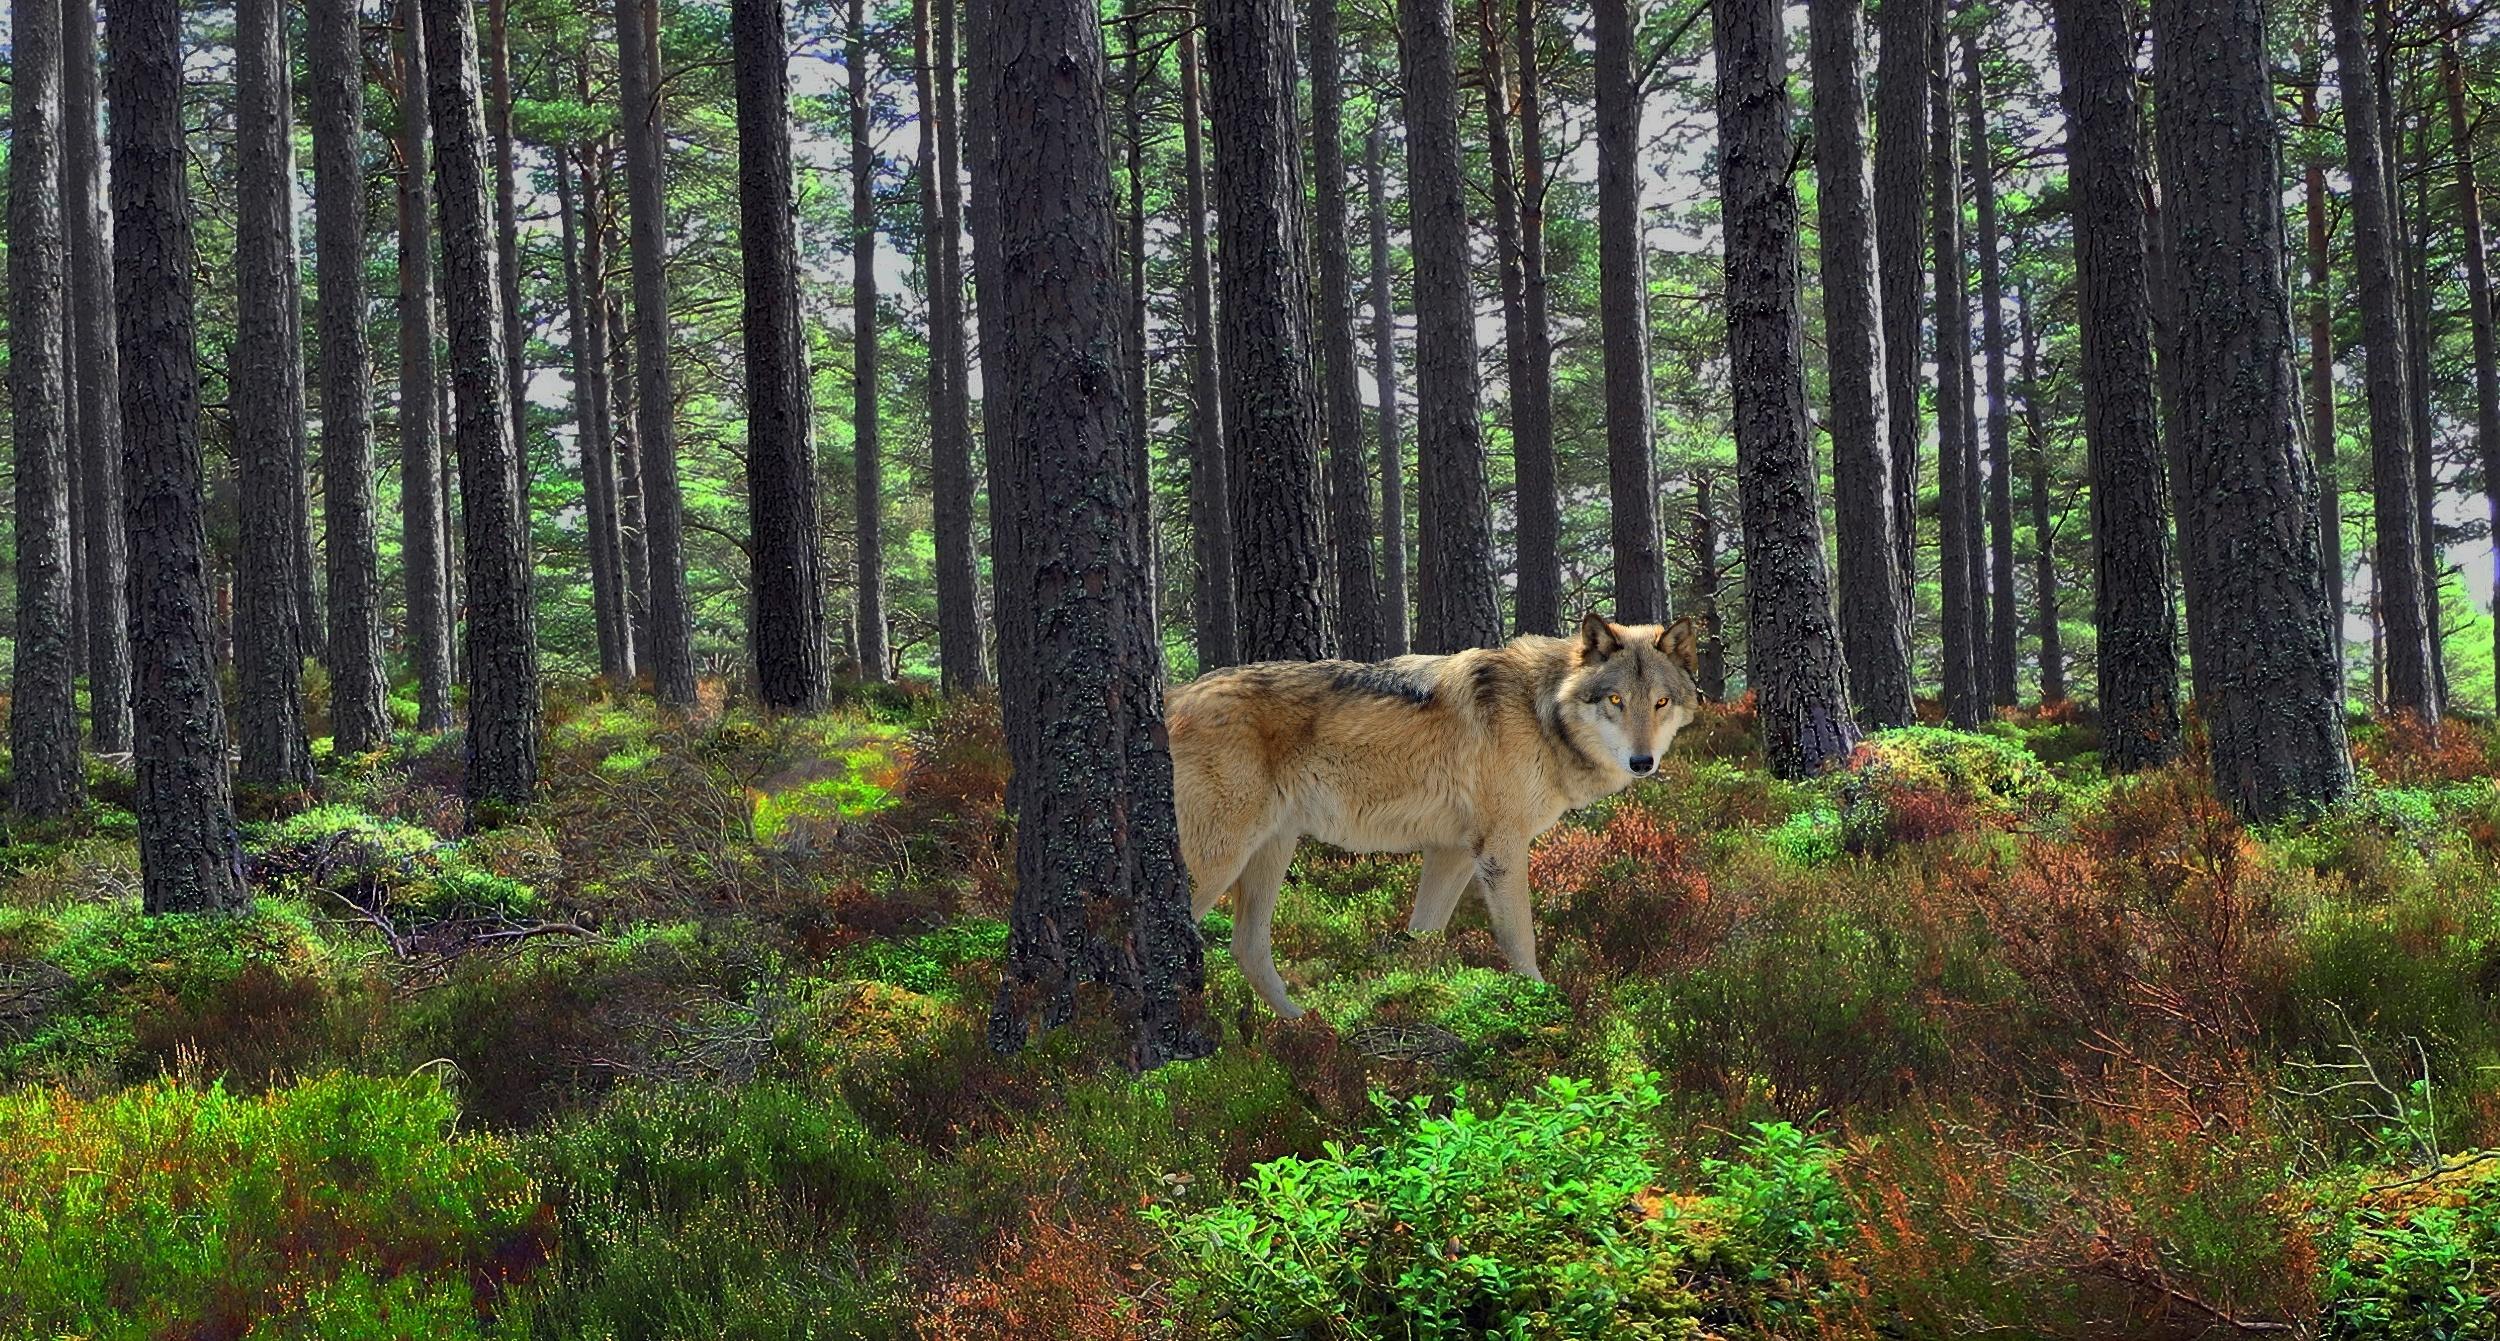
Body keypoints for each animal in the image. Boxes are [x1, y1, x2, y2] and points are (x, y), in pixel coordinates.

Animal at [1165, 615, 1710, 1015]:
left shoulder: (1452, 854)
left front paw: (1413, 997)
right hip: (1217, 864)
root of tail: (1171, 696)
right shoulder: (1500, 851)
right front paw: (1542, 1006)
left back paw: (1305, 1032)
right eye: (1616, 700)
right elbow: (1521, 941)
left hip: (1270, 854)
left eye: (1660, 703)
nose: (1643, 762)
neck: (1540, 714)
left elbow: (1422, 936)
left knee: (1247, 949)